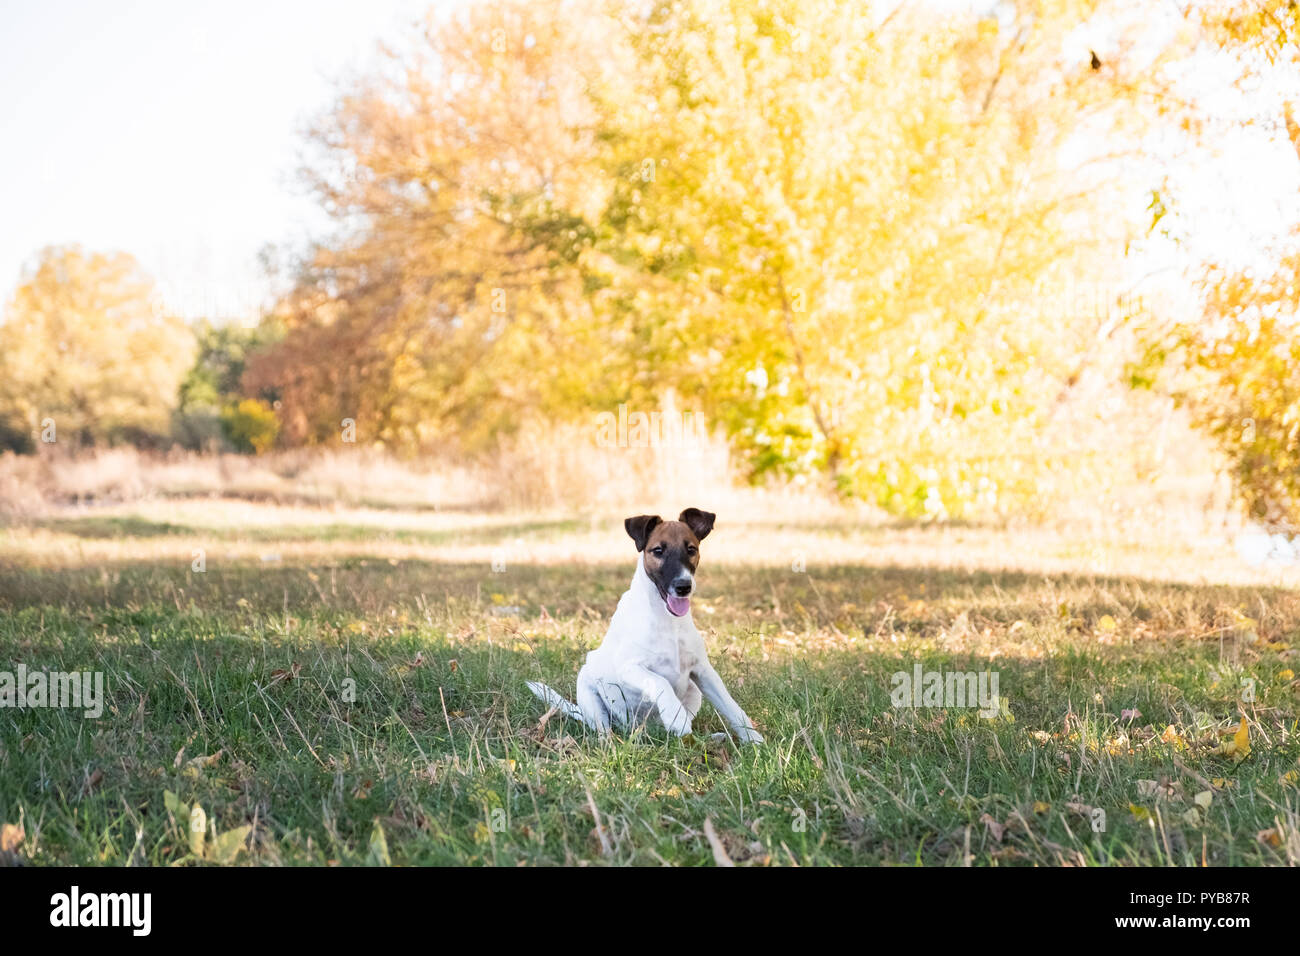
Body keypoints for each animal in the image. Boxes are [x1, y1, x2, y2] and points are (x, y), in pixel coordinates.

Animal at [527, 509, 764, 749]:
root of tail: (644, 731)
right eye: (658, 550)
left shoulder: (703, 671)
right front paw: (675, 716)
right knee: (604, 731)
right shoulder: (629, 667)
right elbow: (659, 682)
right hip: (589, 692)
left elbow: (732, 707)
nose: (684, 586)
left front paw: (755, 741)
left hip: (695, 692)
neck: (668, 620)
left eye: (691, 549)